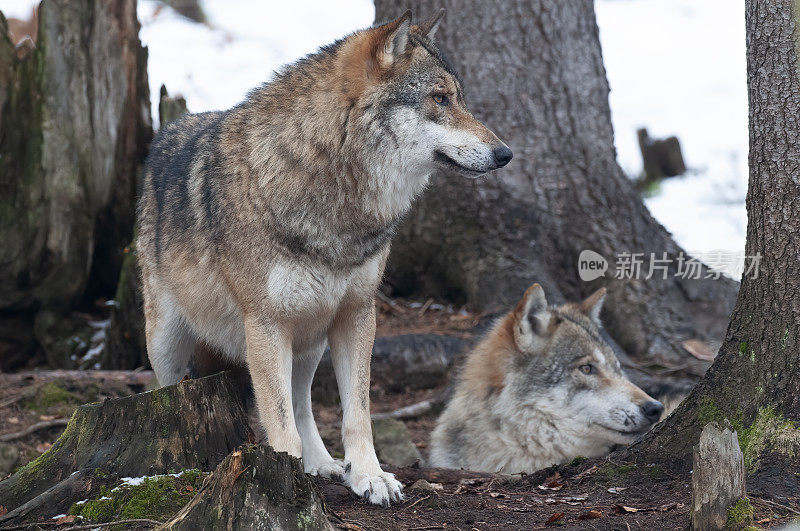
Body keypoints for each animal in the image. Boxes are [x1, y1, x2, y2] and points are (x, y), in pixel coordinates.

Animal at [138, 9, 512, 508]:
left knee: (303, 404)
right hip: (168, 340)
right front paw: (283, 480)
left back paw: (321, 464)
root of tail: (168, 133)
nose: (506, 154)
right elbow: (278, 421)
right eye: (440, 98)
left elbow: (357, 414)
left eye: (460, 98)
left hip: (310, 337)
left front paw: (369, 476)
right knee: (170, 394)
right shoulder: (266, 323)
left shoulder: (357, 314)